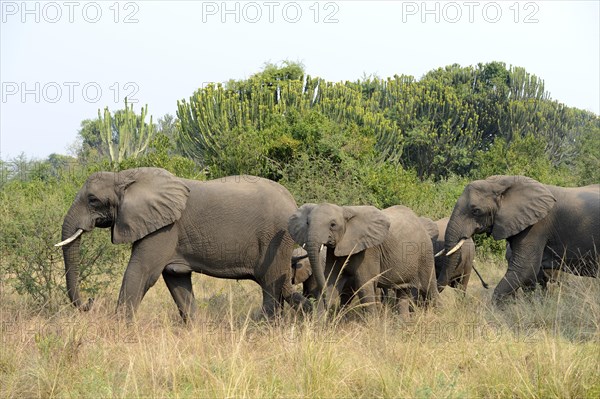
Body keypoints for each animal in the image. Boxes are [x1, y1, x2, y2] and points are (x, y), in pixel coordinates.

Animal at [56, 168, 310, 322]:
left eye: (93, 200)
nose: (90, 303)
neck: (125, 177)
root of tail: (292, 200)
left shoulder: (165, 228)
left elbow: (141, 272)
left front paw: (119, 329)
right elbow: (176, 280)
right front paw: (193, 327)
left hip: (276, 241)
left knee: (271, 287)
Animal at [286, 206, 436, 316]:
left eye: (333, 225)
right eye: (307, 223)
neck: (345, 211)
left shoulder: (368, 251)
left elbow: (364, 285)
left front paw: (372, 328)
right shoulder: (335, 251)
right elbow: (330, 279)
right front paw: (318, 327)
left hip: (426, 254)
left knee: (429, 288)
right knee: (403, 292)